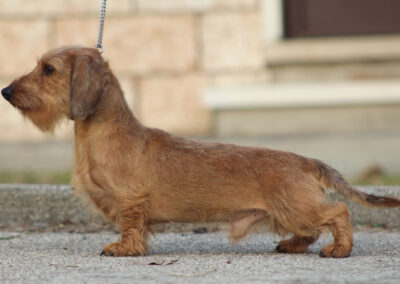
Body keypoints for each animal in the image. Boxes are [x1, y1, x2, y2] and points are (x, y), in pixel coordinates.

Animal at [3, 47, 400, 258]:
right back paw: (291, 244)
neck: (104, 134)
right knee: (311, 228)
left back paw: (339, 248)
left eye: (48, 69)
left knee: (338, 211)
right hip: (288, 213)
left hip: (296, 207)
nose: (6, 91)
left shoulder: (131, 199)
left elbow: (131, 225)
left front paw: (123, 248)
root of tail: (306, 161)